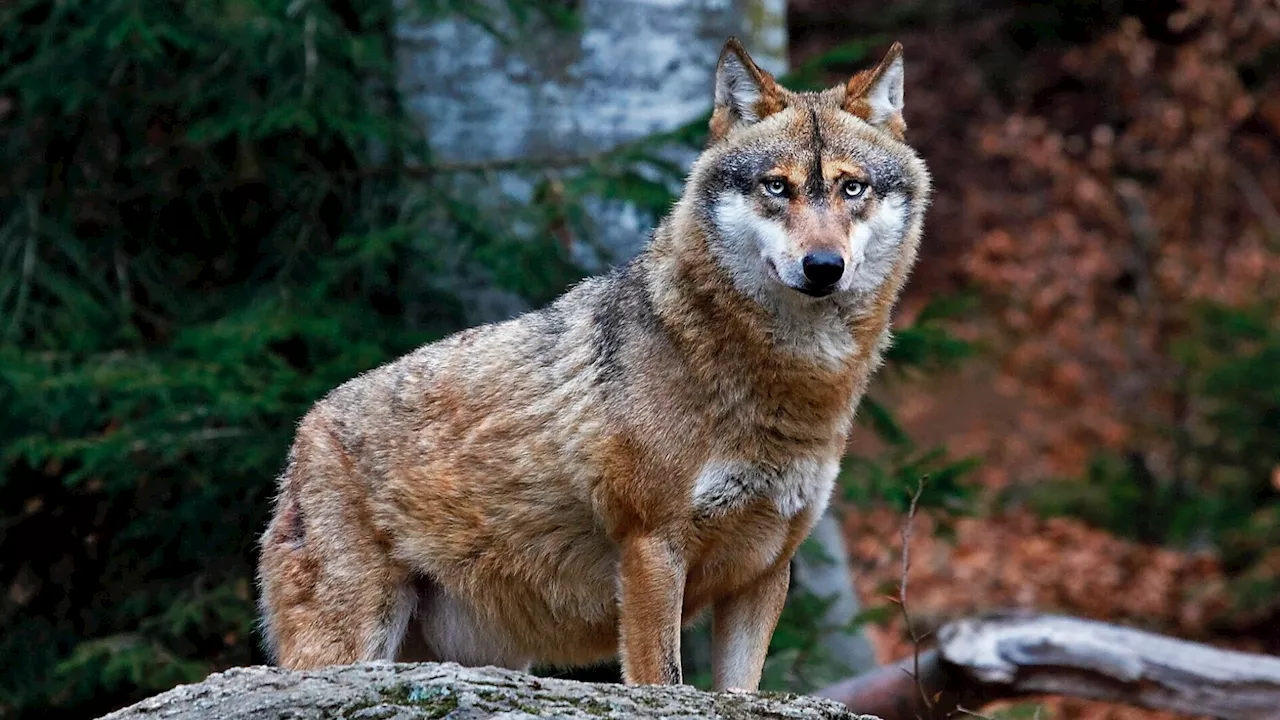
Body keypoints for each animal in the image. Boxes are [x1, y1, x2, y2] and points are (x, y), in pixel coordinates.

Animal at [257, 35, 931, 691]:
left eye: (851, 188)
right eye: (776, 186)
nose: (823, 266)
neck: (790, 385)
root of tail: (305, 428)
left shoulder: (766, 571)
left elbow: (739, 691)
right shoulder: (652, 548)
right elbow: (663, 679)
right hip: (352, 644)